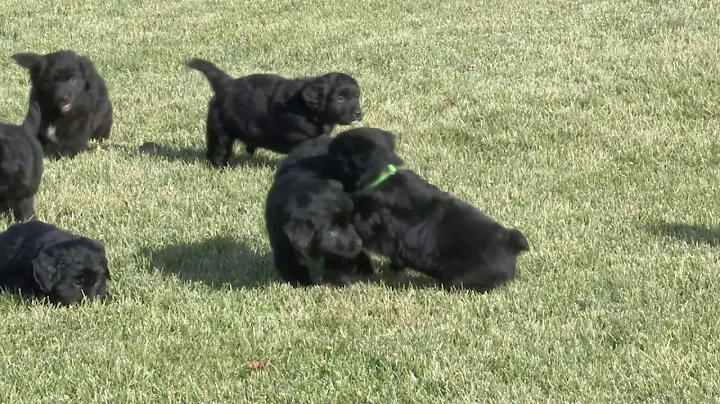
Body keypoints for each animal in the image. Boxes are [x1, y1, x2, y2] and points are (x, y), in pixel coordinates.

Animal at [186, 57, 366, 168]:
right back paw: (220, 167)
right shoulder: (298, 135)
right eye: (340, 98)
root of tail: (226, 84)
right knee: (218, 149)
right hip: (220, 130)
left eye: (356, 96)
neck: (308, 109)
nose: (358, 113)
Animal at [264, 137, 366, 288]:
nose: (359, 243)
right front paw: (301, 282)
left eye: (348, 222)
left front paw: (338, 280)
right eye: (332, 231)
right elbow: (289, 262)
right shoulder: (280, 238)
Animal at [326, 129, 528, 294]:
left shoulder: (374, 226)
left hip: (467, 278)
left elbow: (356, 223)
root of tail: (511, 241)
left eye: (337, 154)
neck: (381, 176)